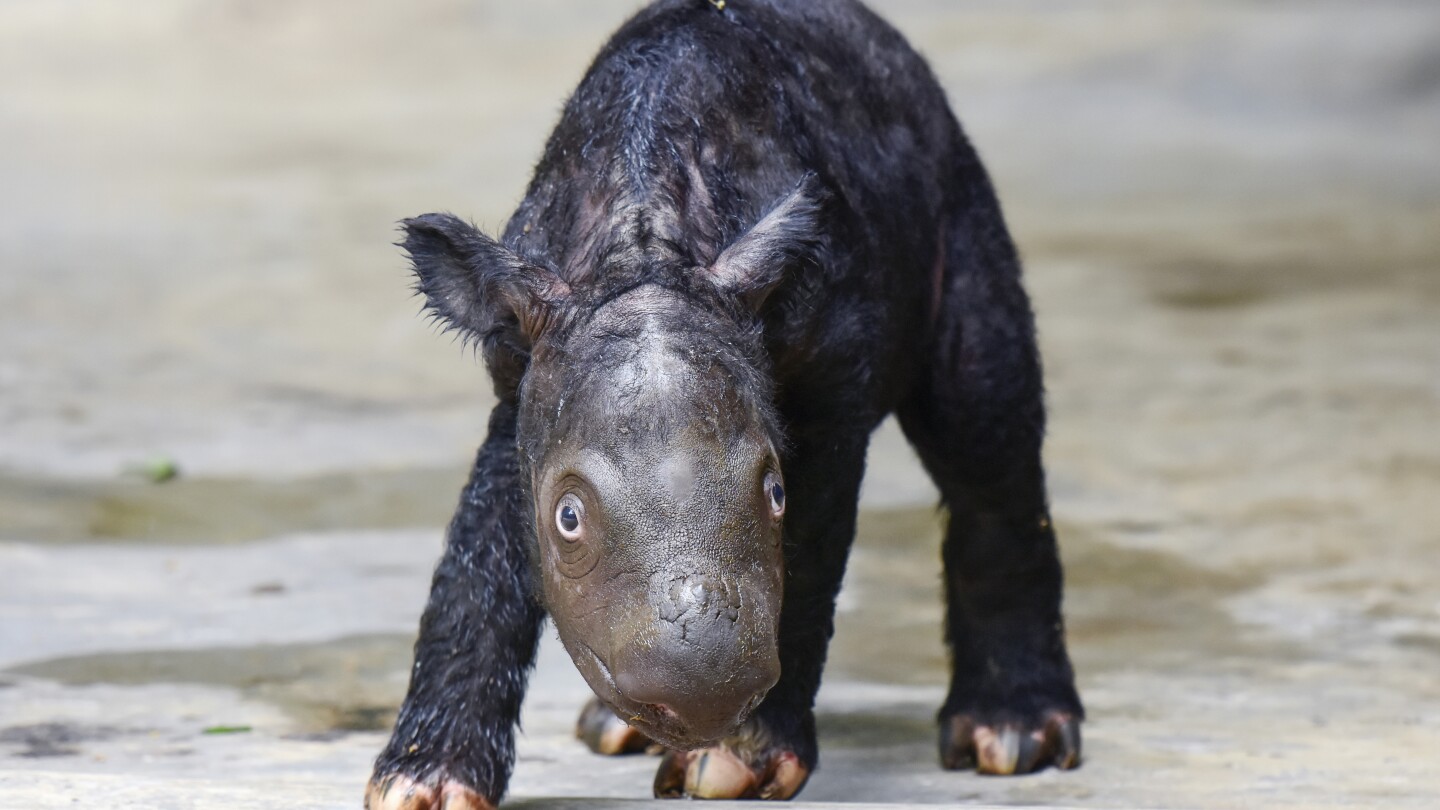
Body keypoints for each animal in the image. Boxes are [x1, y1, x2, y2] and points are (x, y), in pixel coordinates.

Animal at [368, 1, 1082, 807]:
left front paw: (738, 763)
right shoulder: (522, 373)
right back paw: (616, 732)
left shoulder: (830, 381)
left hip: (958, 193)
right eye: (568, 518)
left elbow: (809, 556)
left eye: (774, 492)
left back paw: (1012, 736)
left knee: (984, 433)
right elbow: (478, 558)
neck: (645, 248)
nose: (702, 700)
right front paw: (422, 782)